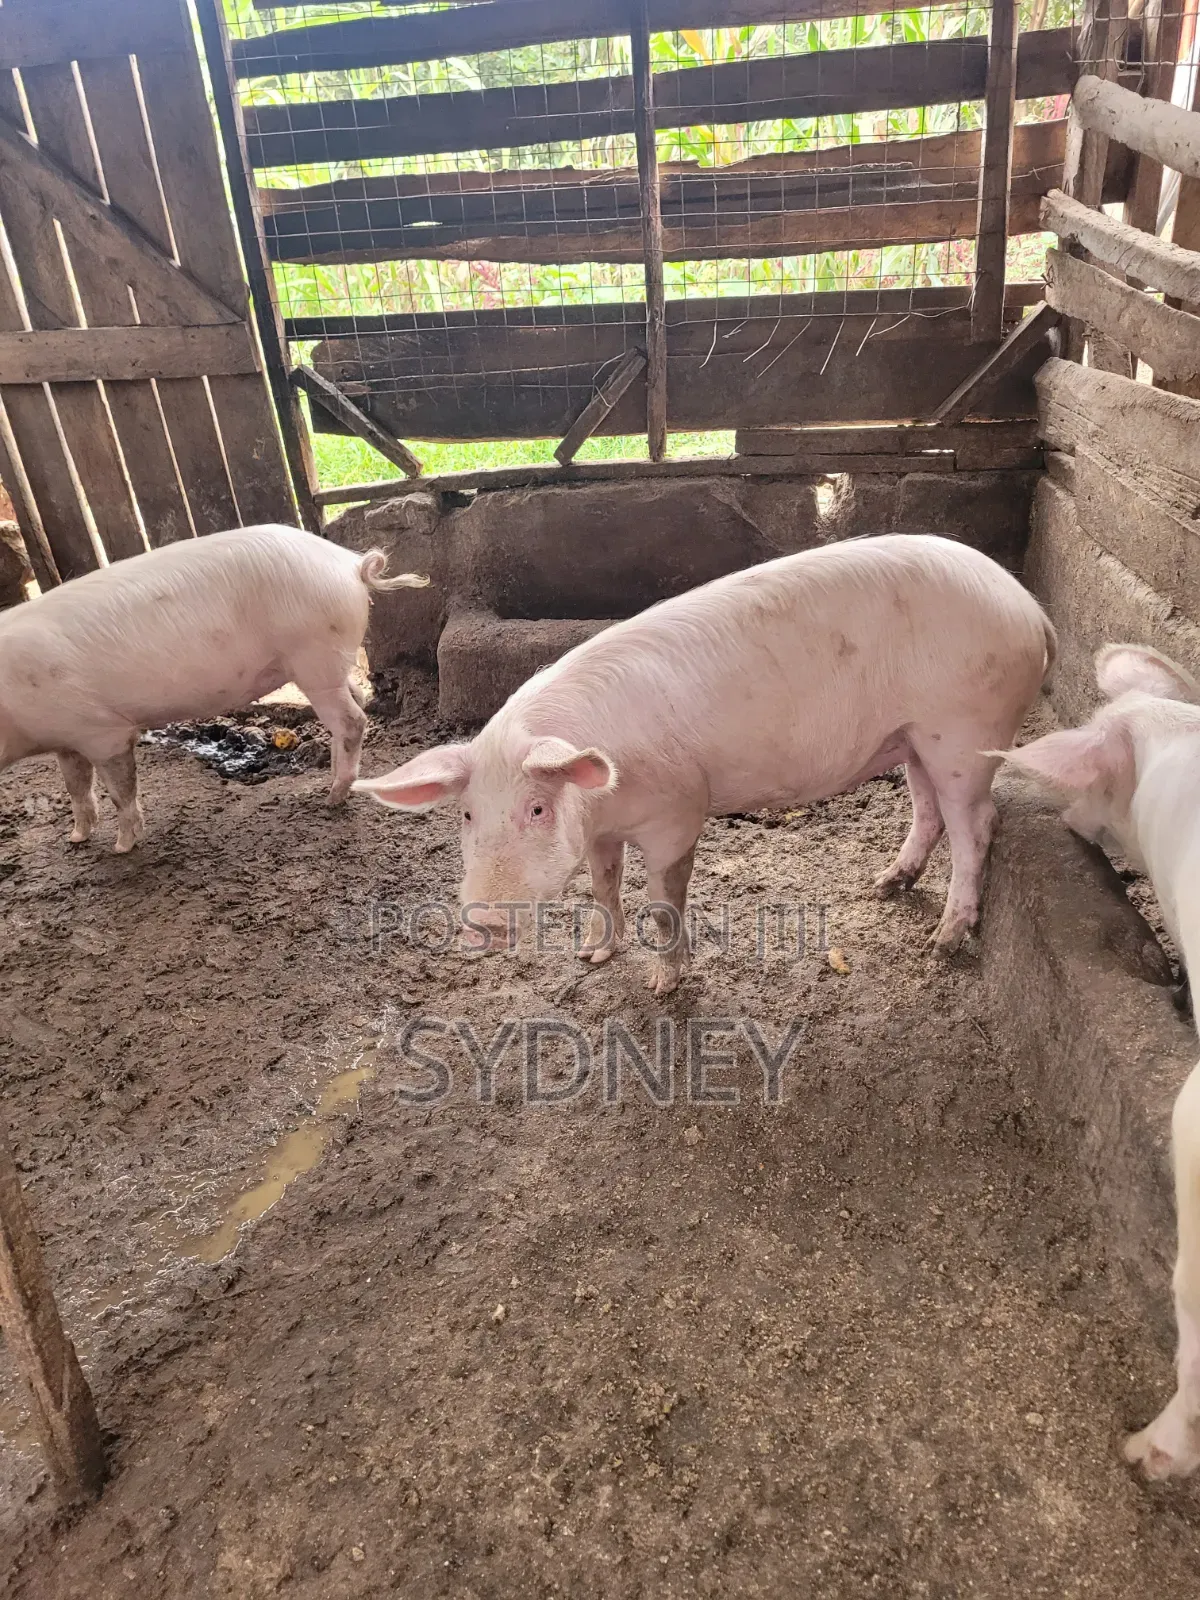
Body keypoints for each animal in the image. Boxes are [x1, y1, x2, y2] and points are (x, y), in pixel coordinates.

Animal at [0, 523, 427, 851]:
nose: (75, 840)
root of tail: (350, 564)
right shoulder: (67, 739)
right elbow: (76, 787)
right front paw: (75, 839)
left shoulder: (104, 732)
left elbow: (121, 790)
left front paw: (122, 847)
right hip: (327, 664)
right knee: (354, 703)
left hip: (313, 657)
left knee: (352, 720)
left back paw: (331, 799)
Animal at [355, 534, 1056, 995]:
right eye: (468, 815)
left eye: (536, 808)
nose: (483, 926)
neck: (607, 799)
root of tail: (1032, 609)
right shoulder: (603, 830)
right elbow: (603, 884)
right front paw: (592, 957)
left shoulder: (677, 813)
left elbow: (663, 898)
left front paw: (664, 987)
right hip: (913, 739)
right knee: (927, 808)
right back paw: (884, 884)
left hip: (965, 732)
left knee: (977, 826)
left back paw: (943, 942)